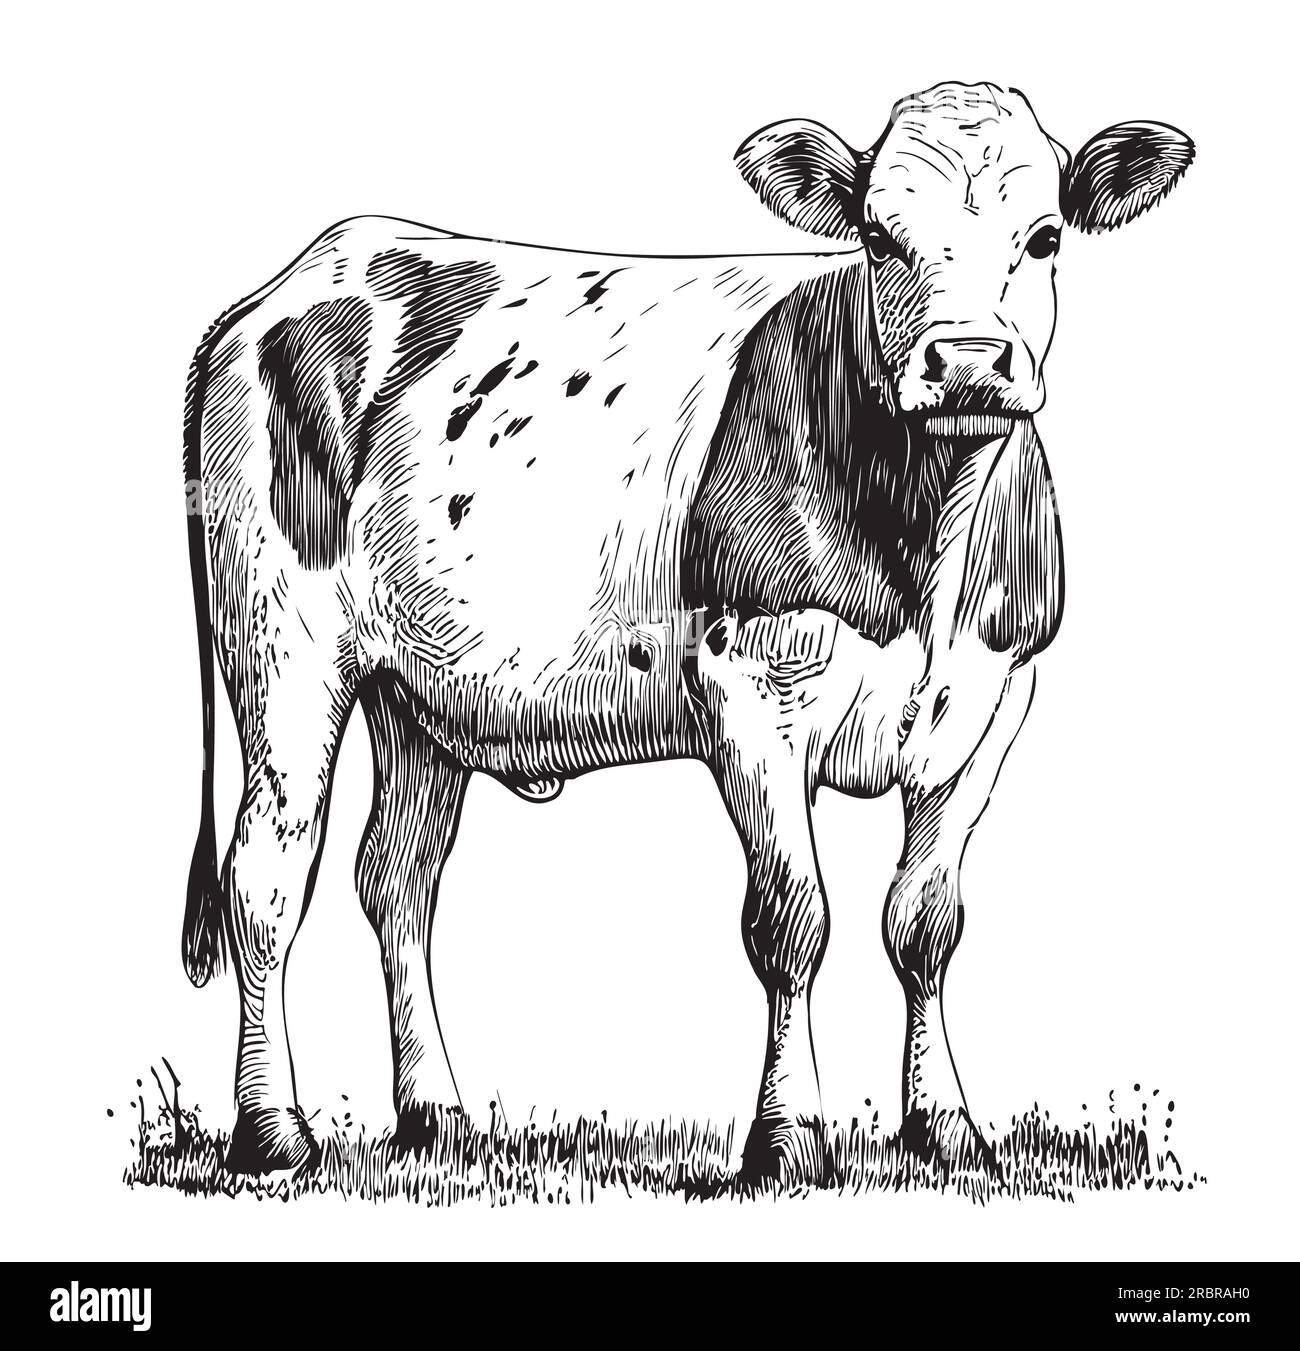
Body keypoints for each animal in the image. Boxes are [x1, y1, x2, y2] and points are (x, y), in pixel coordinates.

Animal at [180, 82, 1193, 1184]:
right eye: (880, 237)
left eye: (1045, 236)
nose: (967, 362)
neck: (926, 549)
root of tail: (295, 279)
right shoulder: (754, 691)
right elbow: (792, 921)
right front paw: (787, 1137)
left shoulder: (992, 703)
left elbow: (924, 924)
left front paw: (944, 1126)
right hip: (284, 655)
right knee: (267, 877)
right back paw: (272, 1130)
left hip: (416, 695)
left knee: (397, 882)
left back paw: (436, 1113)